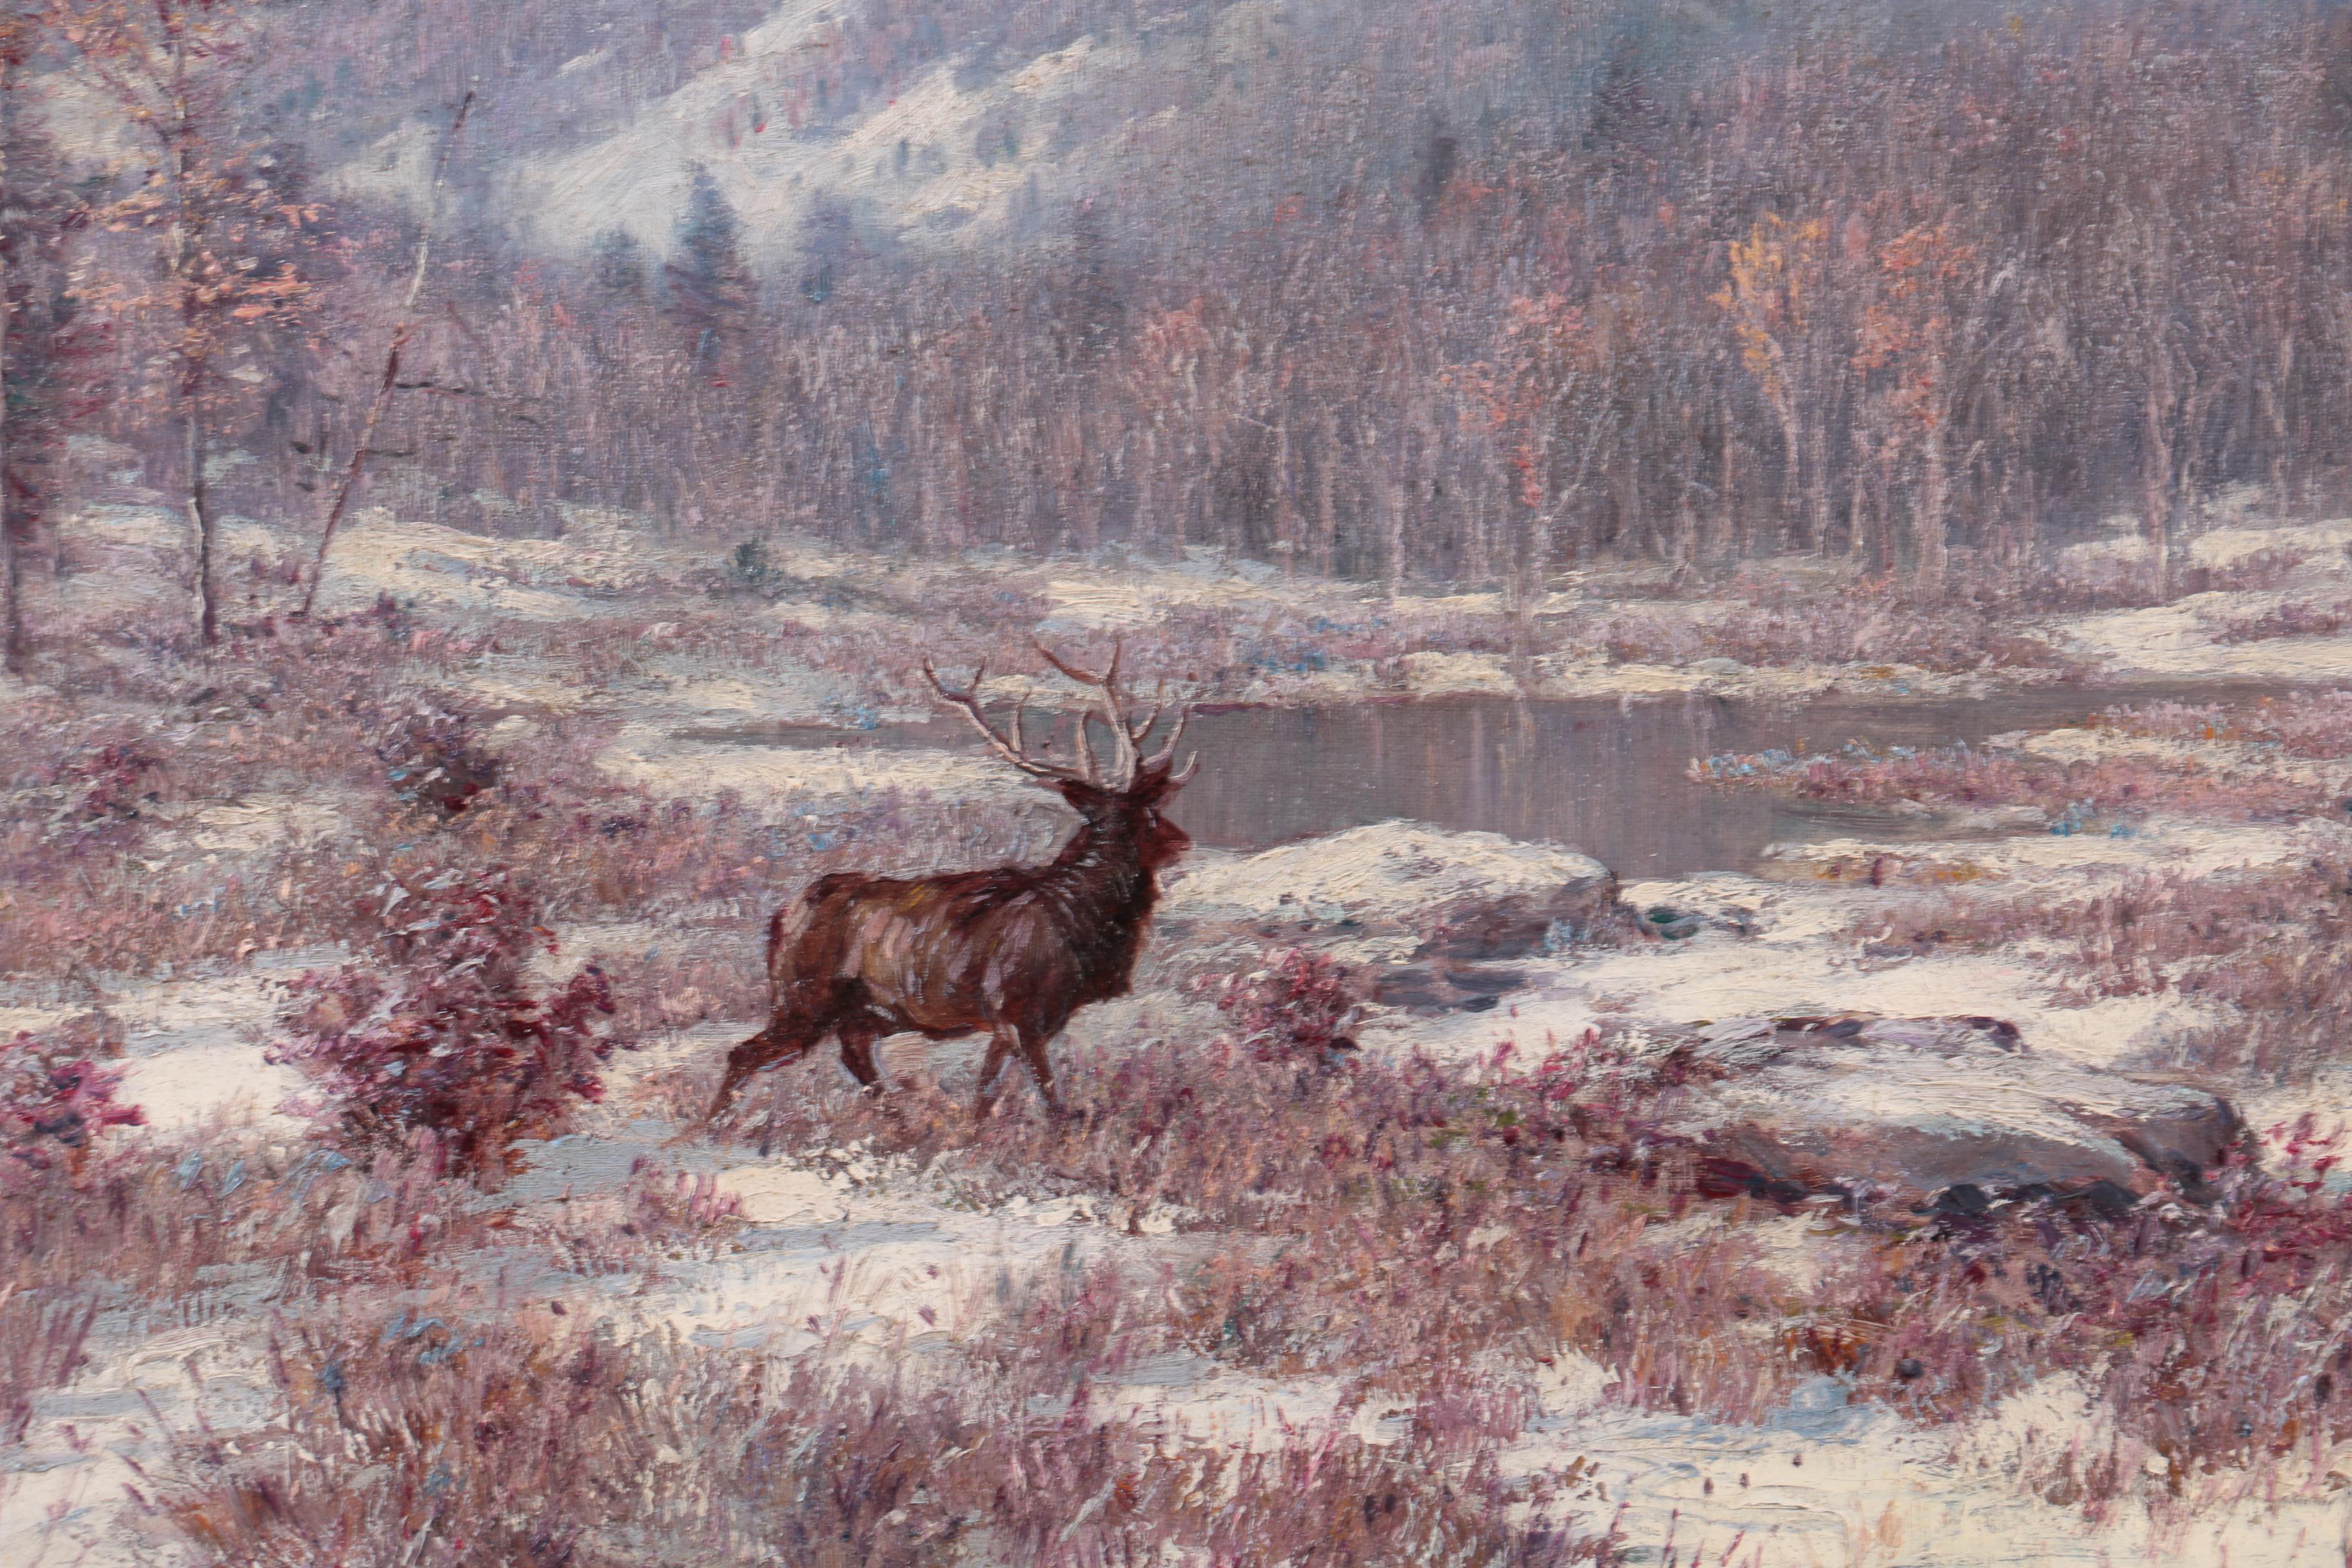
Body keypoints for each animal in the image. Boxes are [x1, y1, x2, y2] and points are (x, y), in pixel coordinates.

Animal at [706, 642, 1198, 1123]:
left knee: (855, 1059)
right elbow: (1051, 1102)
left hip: (863, 1013)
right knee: (743, 1054)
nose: (1184, 841)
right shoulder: (1018, 1014)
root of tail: (782, 916)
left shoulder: (1004, 1024)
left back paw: (898, 1122)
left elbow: (984, 1095)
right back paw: (711, 1131)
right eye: (1150, 814)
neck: (1087, 927)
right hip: (803, 998)